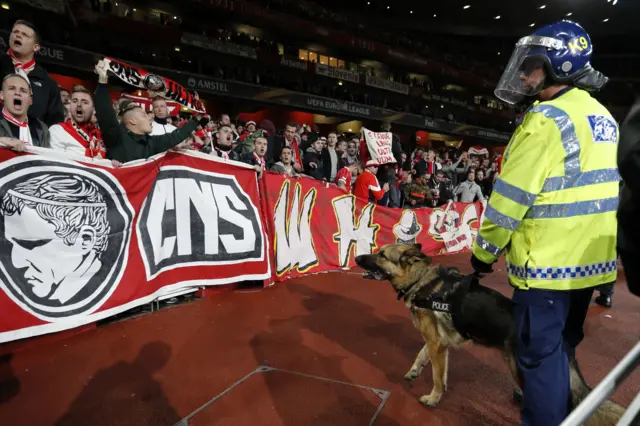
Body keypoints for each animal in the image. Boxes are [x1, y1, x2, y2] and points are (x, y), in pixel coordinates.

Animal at [356, 243, 624, 426]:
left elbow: (436, 376)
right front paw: (415, 372)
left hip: (519, 369)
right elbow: (426, 360)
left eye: (382, 255)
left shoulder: (437, 345)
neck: (421, 282)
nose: (357, 257)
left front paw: (433, 398)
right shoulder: (437, 343)